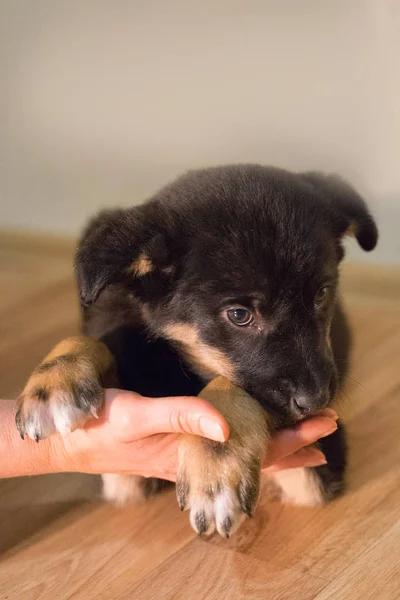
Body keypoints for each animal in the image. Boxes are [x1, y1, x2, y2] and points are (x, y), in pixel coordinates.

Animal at [16, 165, 378, 540]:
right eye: (239, 315)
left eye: (322, 294)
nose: (317, 401)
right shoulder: (123, 477)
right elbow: (96, 340)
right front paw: (54, 383)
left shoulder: (320, 456)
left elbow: (230, 387)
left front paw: (216, 469)